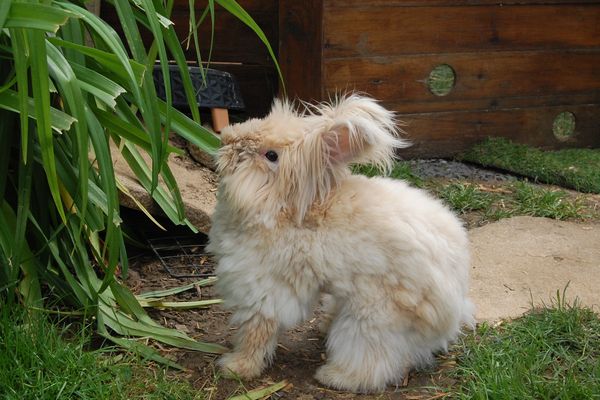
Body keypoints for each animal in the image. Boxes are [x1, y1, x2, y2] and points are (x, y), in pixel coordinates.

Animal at [206, 94, 474, 394]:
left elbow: (256, 333)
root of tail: (452, 307)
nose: (226, 138)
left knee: (374, 361)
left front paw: (235, 367)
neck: (284, 210)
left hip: (371, 318)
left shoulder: (264, 292)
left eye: (271, 155)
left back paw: (335, 376)